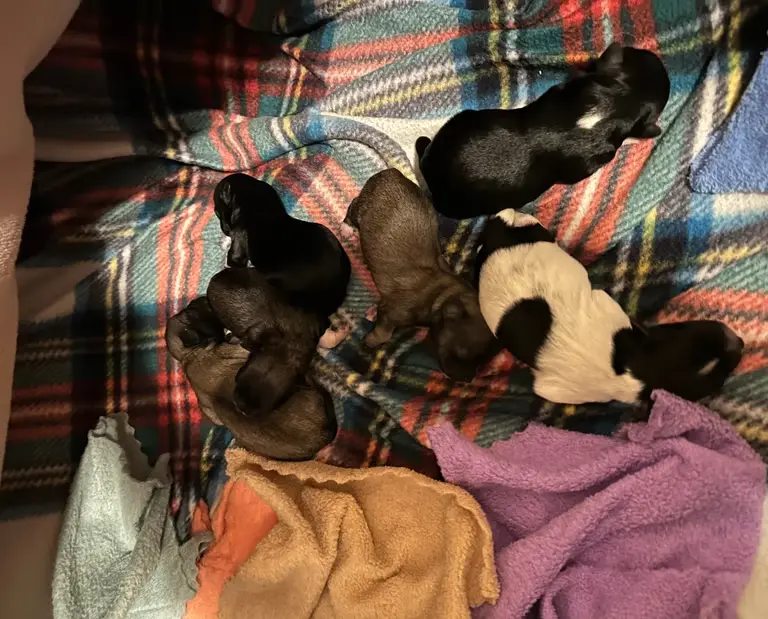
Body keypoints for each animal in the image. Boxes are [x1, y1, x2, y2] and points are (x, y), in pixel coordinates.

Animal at [165, 297, 337, 460]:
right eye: (194, 313)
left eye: (189, 309)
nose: (202, 298)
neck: (188, 356)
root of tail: (324, 438)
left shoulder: (209, 411)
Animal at [345, 169, 497, 382]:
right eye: (460, 354)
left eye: (483, 360)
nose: (468, 380)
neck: (441, 297)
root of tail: (392, 172)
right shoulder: (390, 311)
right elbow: (384, 332)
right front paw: (372, 341)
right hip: (363, 206)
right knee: (353, 207)